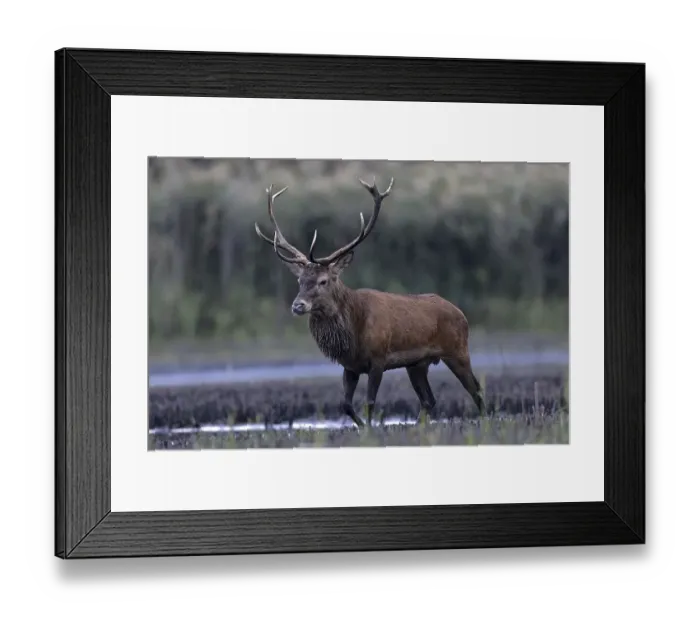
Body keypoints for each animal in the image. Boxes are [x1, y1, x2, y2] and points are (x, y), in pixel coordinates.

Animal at [254, 177, 487, 429]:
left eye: (323, 281)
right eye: (300, 280)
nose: (298, 306)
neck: (353, 332)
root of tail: (461, 313)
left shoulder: (378, 359)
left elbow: (370, 402)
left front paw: (370, 429)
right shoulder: (350, 366)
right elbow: (346, 405)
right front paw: (363, 426)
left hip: (457, 351)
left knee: (476, 390)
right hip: (418, 363)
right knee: (429, 400)